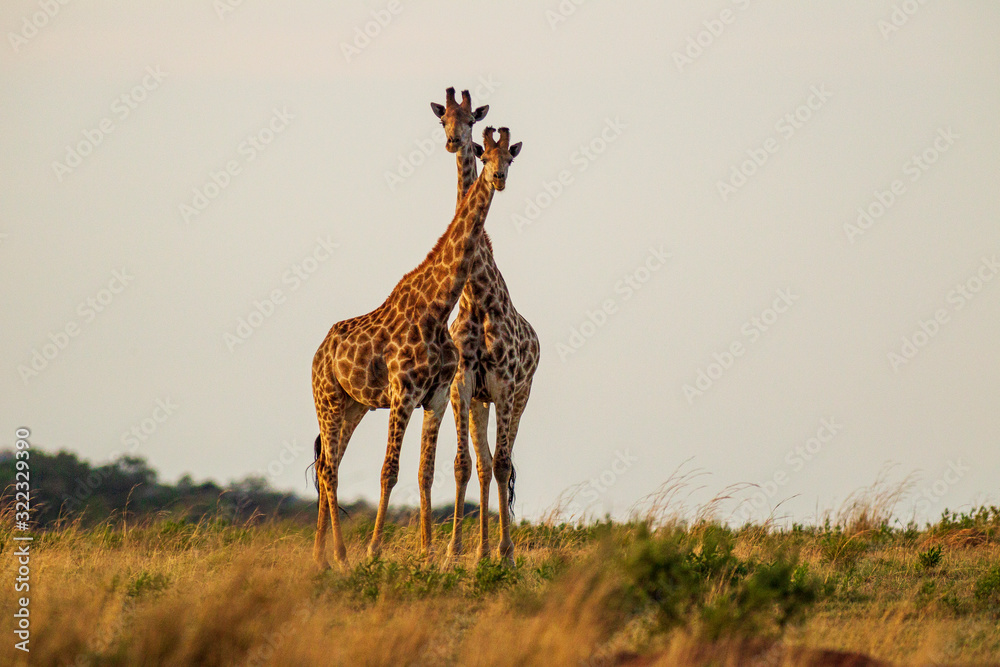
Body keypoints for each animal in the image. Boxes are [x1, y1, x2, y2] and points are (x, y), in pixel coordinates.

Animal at [312, 126, 522, 569]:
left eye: (509, 158)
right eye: (486, 156)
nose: (498, 179)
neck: (437, 307)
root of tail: (318, 353)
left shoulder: (437, 395)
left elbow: (426, 470)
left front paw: (428, 553)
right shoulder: (403, 392)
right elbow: (389, 469)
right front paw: (375, 550)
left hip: (353, 406)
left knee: (327, 465)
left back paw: (321, 557)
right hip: (328, 400)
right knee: (330, 470)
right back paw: (340, 555)